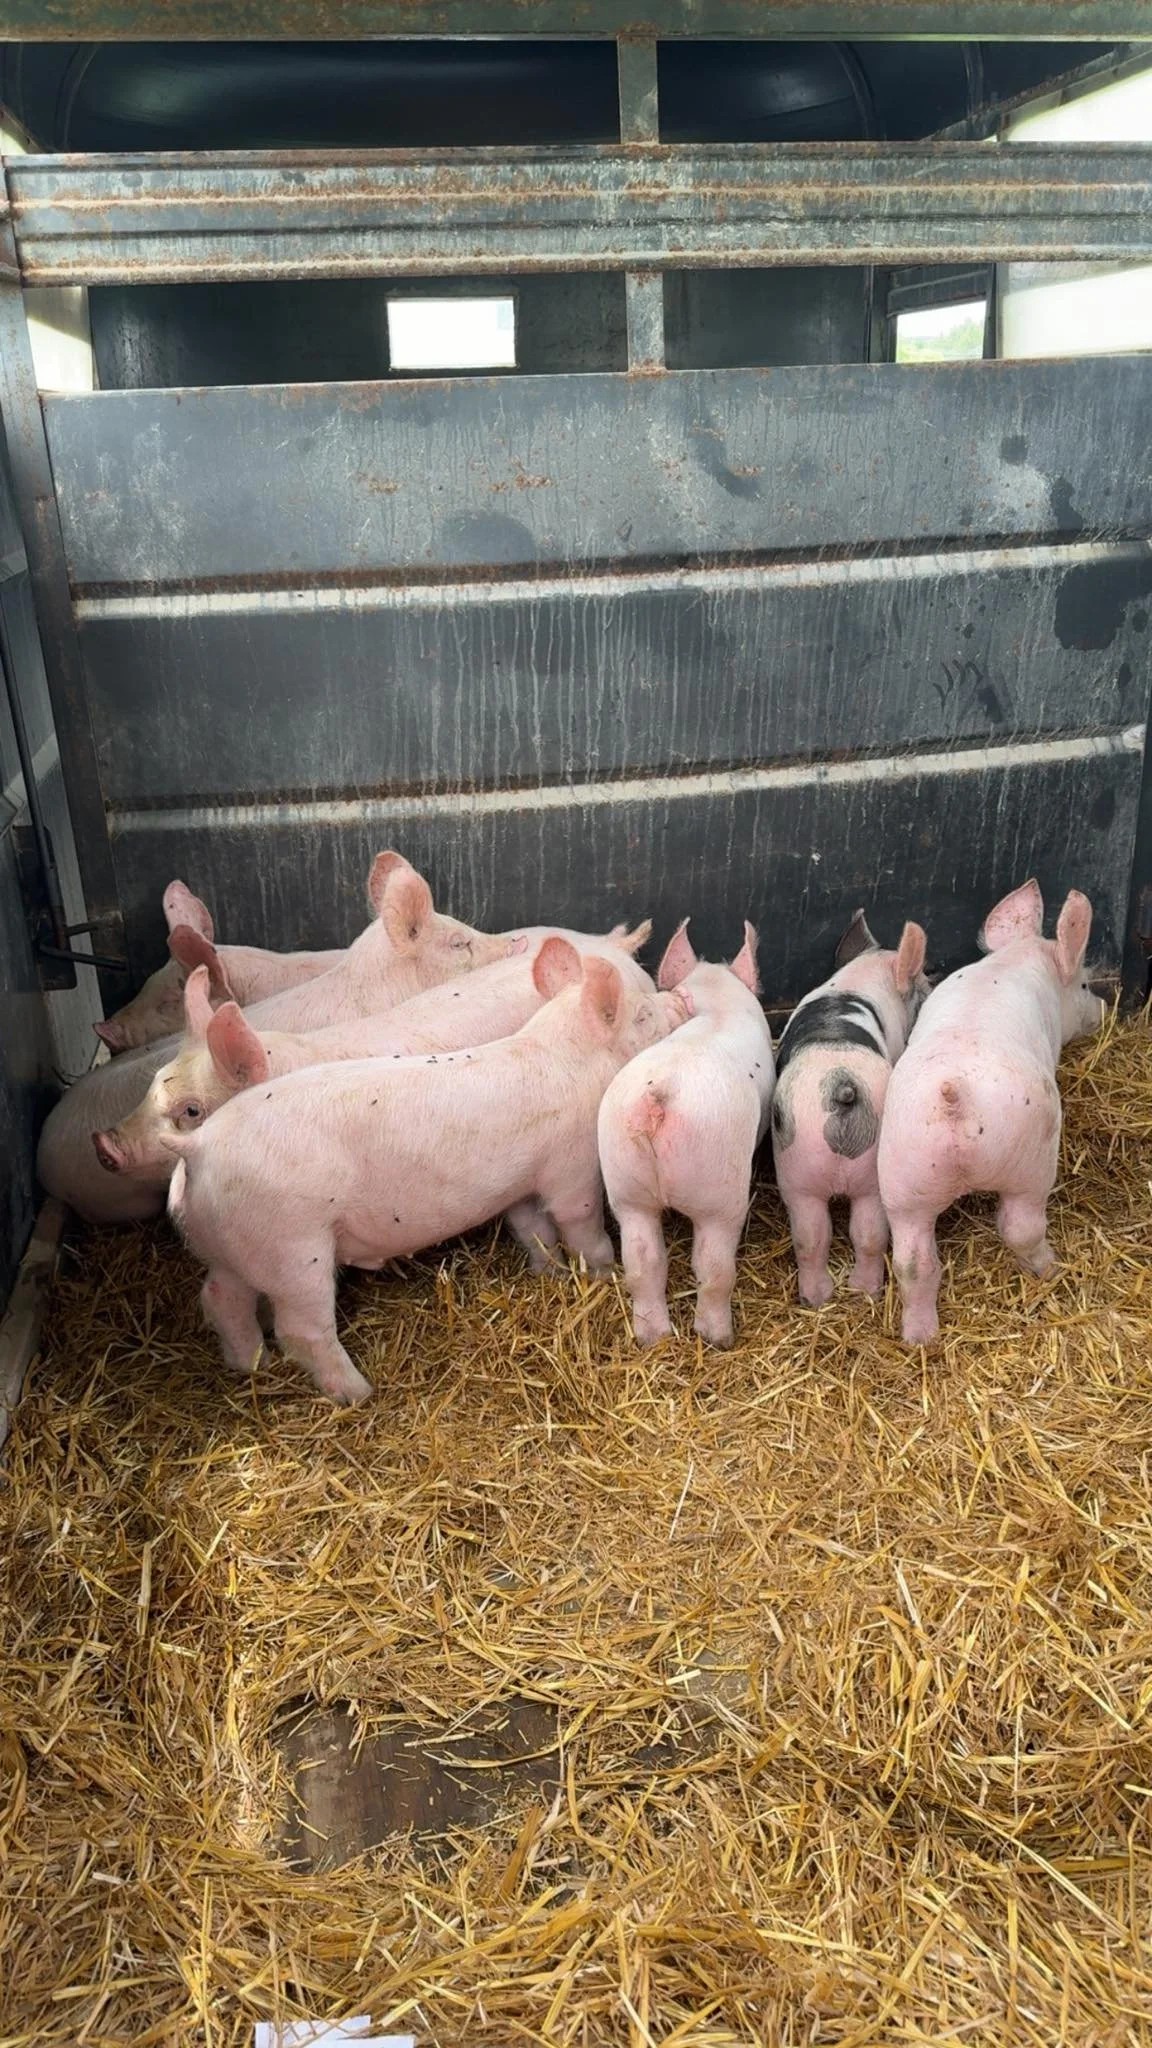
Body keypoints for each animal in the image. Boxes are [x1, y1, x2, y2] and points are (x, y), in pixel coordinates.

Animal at [168, 941, 686, 1404]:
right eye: (642, 1015)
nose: (678, 1001)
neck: (566, 1056)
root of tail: (198, 1146)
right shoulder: (572, 1168)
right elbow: (580, 1224)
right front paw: (603, 1273)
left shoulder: (519, 1185)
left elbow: (532, 1230)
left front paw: (553, 1274)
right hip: (293, 1249)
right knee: (300, 1329)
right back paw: (360, 1393)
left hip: (230, 1246)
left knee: (219, 1298)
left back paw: (250, 1364)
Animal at [597, 919, 774, 1349]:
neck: (718, 1004)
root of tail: (659, 1091)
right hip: (718, 1189)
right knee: (712, 1267)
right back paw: (718, 1338)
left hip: (624, 1182)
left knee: (642, 1263)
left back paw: (653, 1338)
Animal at [771, 910, 929, 1309]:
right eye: (923, 985)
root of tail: (841, 1083)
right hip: (825, 1172)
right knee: (837, 1233)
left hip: (809, 1171)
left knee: (829, 1235)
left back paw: (837, 1295)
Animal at [877, 880, 1104, 1346]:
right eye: (1085, 986)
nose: (1105, 1008)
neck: (1016, 961)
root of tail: (956, 1096)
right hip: (1029, 1160)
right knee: (1021, 1226)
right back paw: (1050, 1268)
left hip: (902, 1175)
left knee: (913, 1262)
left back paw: (920, 1338)